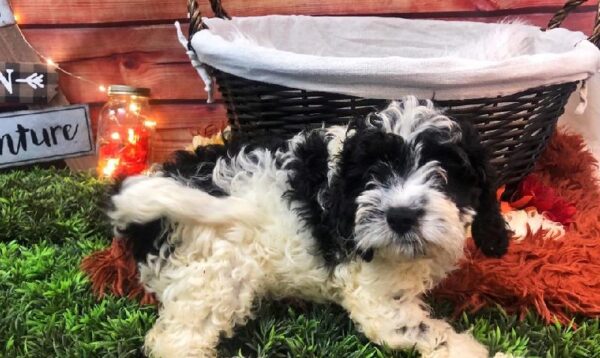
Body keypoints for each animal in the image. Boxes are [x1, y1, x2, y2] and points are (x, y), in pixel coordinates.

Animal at [110, 97, 508, 358]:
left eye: (447, 171)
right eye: (372, 172)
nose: (401, 216)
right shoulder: (374, 293)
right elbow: (417, 329)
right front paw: (470, 349)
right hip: (210, 275)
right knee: (176, 340)